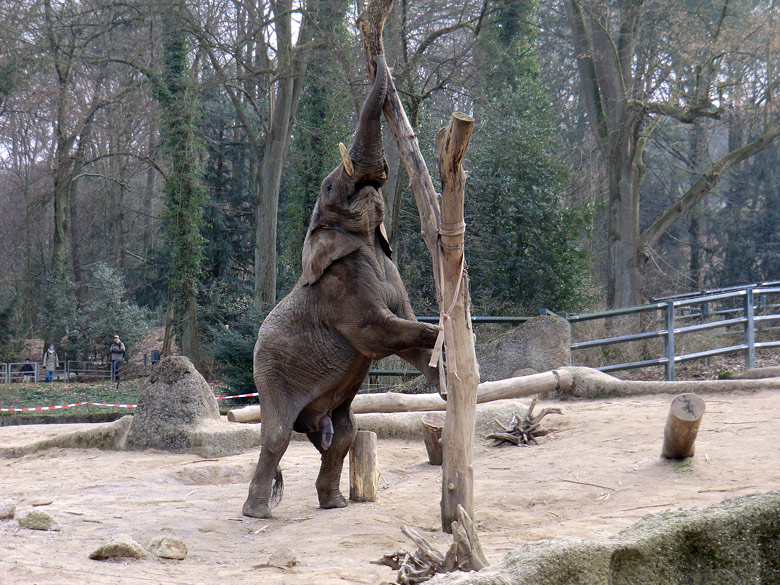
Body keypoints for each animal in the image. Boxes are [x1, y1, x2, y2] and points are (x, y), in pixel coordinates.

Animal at [241, 56, 442, 520]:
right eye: (330, 187)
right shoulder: (341, 288)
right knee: (277, 435)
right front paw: (450, 336)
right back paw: (258, 514)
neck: (363, 238)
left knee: (346, 433)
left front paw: (444, 378)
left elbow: (403, 332)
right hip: (271, 375)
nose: (379, 60)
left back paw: (333, 503)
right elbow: (379, 333)